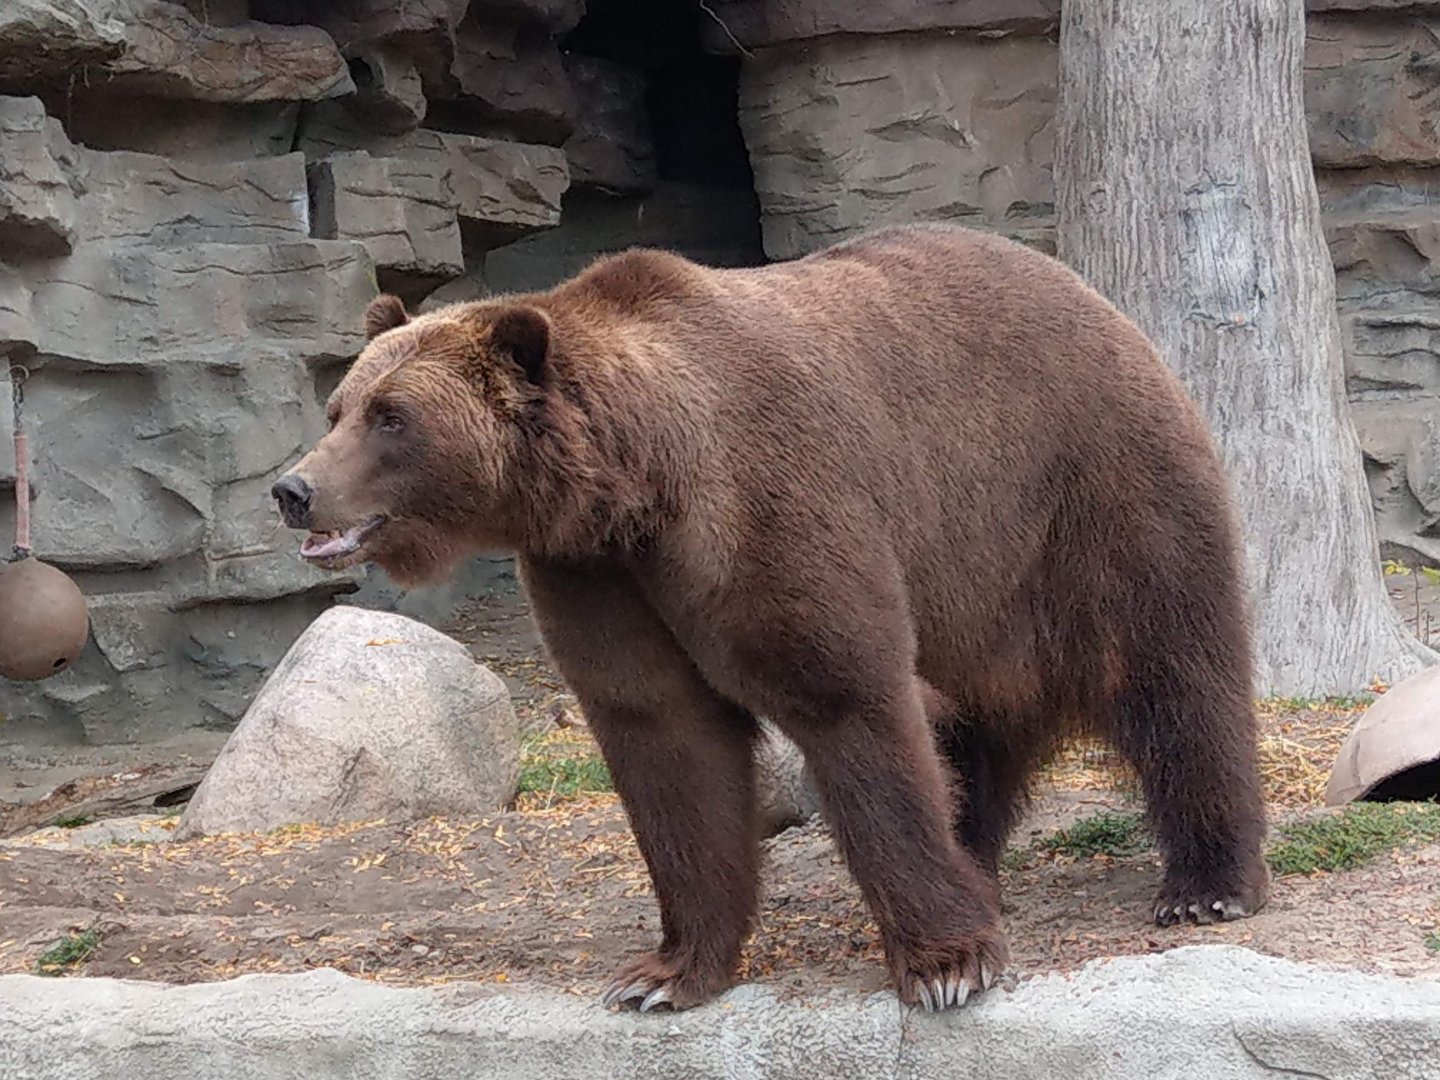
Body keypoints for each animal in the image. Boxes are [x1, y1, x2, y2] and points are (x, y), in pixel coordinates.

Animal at [272, 222, 1270, 1013]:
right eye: (338, 406)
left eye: (393, 417)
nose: (293, 488)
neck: (635, 485)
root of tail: (1094, 296)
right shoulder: (597, 574)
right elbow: (663, 739)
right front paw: (664, 973)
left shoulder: (764, 508)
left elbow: (846, 697)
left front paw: (947, 964)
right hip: (976, 587)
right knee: (974, 728)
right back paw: (979, 859)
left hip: (1090, 494)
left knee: (1175, 675)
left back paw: (1206, 883)